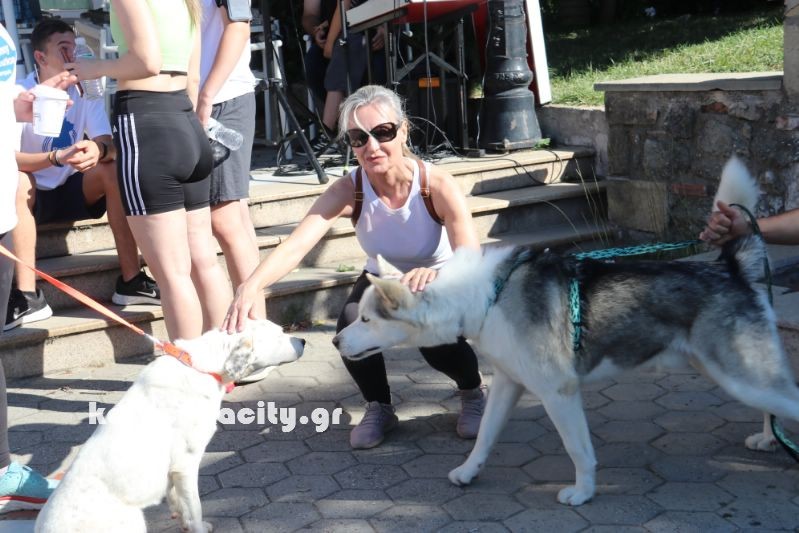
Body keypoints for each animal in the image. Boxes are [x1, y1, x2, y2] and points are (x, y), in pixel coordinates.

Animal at [35, 320, 305, 532]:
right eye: (279, 334)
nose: (302, 340)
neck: (201, 365)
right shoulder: (186, 464)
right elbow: (194, 506)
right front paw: (198, 527)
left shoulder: (173, 473)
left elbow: (178, 501)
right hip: (133, 521)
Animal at [333, 157, 799, 506]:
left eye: (367, 320)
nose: (336, 340)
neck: (488, 295)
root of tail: (731, 268)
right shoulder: (507, 384)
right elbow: (483, 437)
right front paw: (468, 472)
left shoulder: (559, 393)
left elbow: (580, 451)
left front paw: (583, 493)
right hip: (734, 375)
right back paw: (767, 438)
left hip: (743, 377)